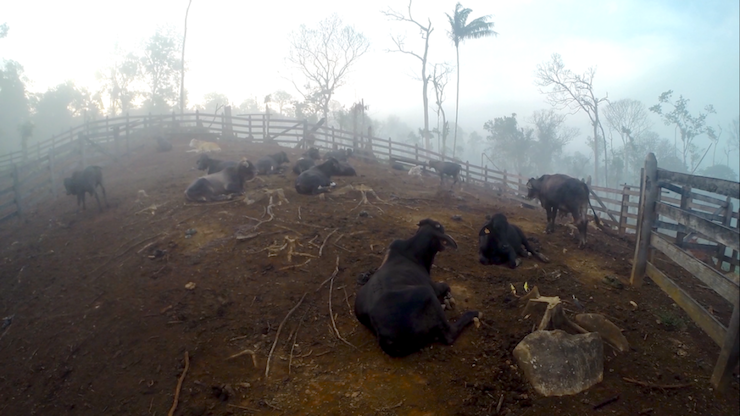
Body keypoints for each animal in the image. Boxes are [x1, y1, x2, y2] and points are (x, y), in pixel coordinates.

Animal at [354, 218, 480, 358]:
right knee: (449, 334)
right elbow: (447, 286)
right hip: (427, 293)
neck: (413, 251)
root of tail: (382, 334)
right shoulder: (433, 287)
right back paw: (472, 314)